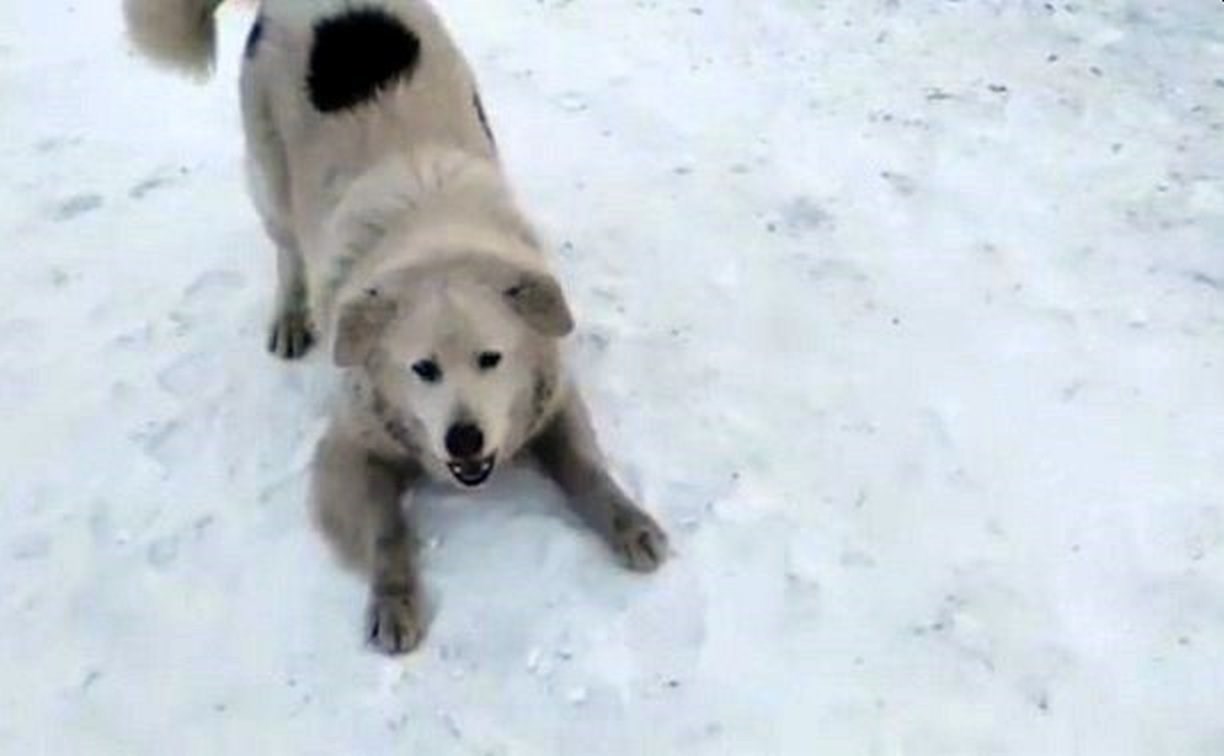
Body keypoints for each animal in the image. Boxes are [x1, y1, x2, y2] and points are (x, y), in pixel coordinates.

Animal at [124, 0, 670, 650]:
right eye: (422, 369)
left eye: (491, 359)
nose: (464, 440)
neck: (436, 245)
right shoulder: (346, 448)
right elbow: (387, 532)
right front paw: (394, 600)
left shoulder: (554, 398)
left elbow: (587, 469)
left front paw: (628, 522)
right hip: (269, 175)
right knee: (286, 250)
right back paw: (289, 317)